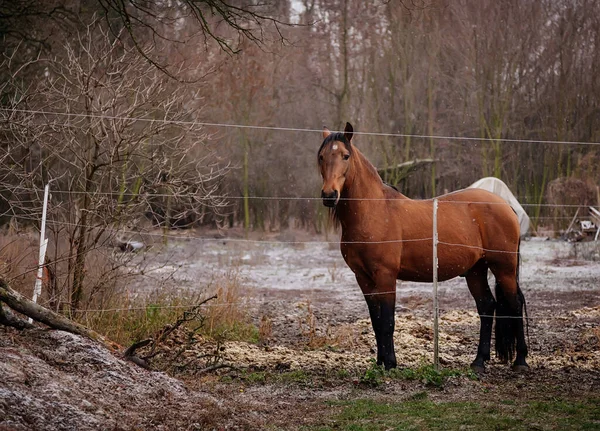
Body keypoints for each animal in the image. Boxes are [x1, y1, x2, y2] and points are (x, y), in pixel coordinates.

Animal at [316, 123, 528, 372]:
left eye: (345, 156)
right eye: (321, 157)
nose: (329, 195)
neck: (374, 211)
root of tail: (506, 205)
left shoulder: (386, 276)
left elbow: (387, 321)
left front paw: (390, 363)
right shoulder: (363, 278)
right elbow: (376, 322)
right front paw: (380, 363)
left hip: (503, 268)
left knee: (515, 305)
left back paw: (521, 360)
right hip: (476, 270)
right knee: (487, 306)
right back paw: (478, 362)